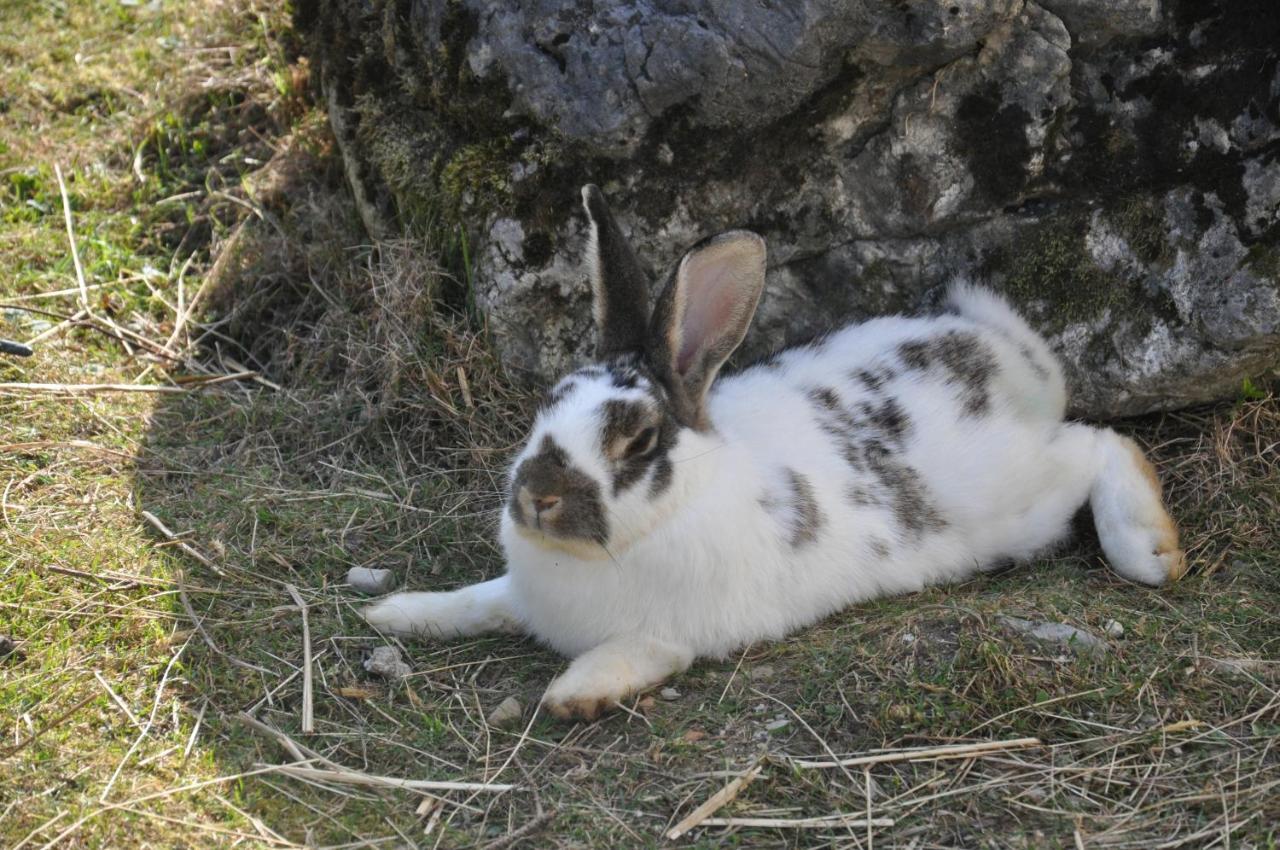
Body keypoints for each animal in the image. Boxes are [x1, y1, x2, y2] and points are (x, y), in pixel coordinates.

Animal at [363, 184, 1187, 716]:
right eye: (548, 403)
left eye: (638, 439)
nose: (537, 495)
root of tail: (1011, 358)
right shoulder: (516, 593)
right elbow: (477, 599)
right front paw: (395, 614)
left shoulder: (673, 631)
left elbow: (636, 653)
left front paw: (574, 694)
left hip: (1022, 496)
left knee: (1100, 443)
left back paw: (1150, 549)